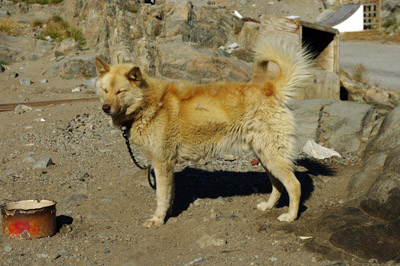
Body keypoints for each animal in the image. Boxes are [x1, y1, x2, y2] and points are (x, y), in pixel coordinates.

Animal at [96, 35, 312, 229]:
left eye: (120, 92)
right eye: (105, 90)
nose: (105, 108)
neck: (149, 104)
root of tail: (270, 88)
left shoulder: (161, 163)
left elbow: (161, 196)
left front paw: (158, 219)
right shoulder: (166, 165)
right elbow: (169, 194)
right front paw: (169, 212)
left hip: (272, 155)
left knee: (294, 184)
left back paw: (291, 216)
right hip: (265, 155)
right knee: (278, 185)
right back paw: (268, 206)